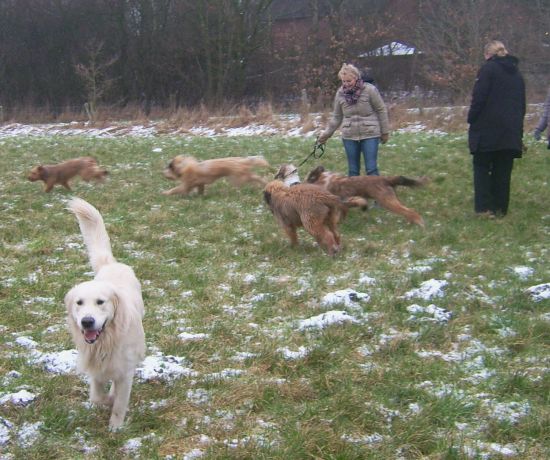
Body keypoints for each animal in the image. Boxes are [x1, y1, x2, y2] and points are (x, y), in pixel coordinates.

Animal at [64, 198, 145, 430]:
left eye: (101, 302)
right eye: (79, 303)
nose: (87, 321)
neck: (106, 340)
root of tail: (111, 264)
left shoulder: (125, 370)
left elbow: (119, 402)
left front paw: (115, 428)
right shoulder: (94, 367)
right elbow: (97, 396)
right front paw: (106, 400)